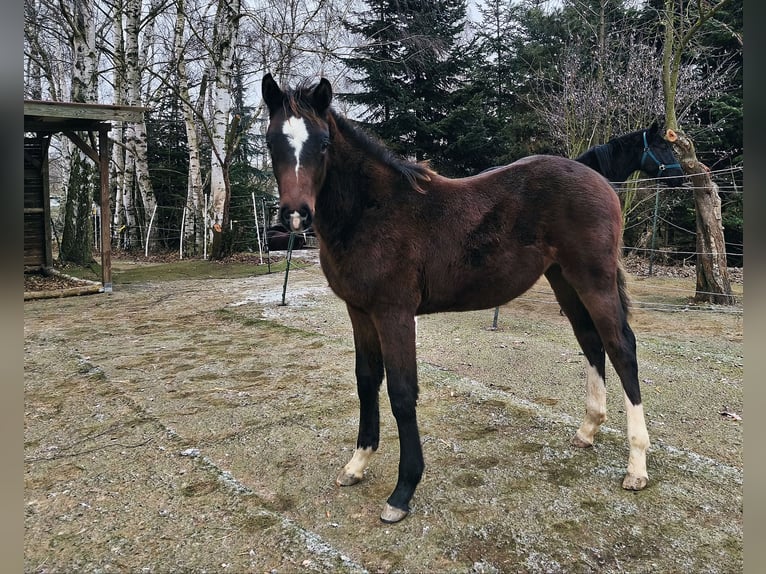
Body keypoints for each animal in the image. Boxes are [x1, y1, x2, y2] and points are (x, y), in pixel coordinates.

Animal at [261, 73, 650, 524]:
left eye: (322, 143)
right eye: (272, 141)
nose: (295, 215)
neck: (372, 210)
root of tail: (595, 177)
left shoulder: (394, 312)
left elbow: (401, 392)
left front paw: (403, 491)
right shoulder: (359, 311)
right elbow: (366, 381)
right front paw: (357, 464)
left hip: (593, 278)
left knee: (621, 346)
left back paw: (636, 466)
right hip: (564, 280)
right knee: (591, 341)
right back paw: (588, 431)